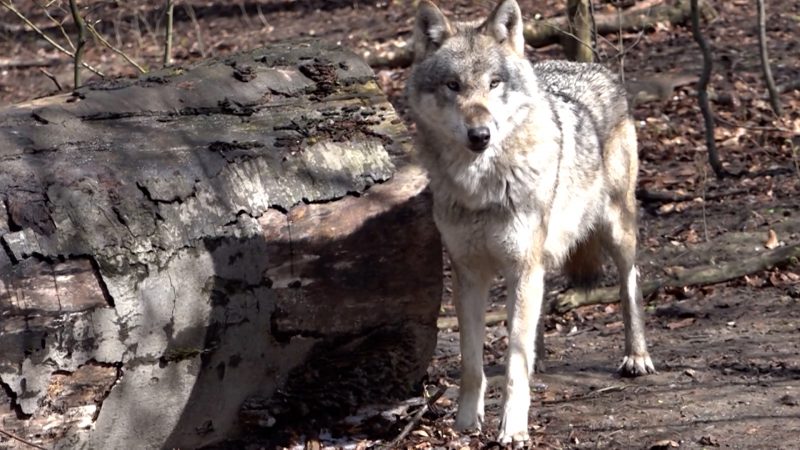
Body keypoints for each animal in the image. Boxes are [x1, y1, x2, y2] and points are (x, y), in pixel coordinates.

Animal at [405, 0, 656, 444]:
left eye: (494, 83)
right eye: (453, 85)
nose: (480, 134)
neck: (481, 187)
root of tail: (592, 67)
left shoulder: (522, 264)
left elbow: (513, 363)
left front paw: (513, 429)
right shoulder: (469, 273)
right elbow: (473, 362)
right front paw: (466, 424)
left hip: (616, 229)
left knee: (630, 285)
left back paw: (636, 356)